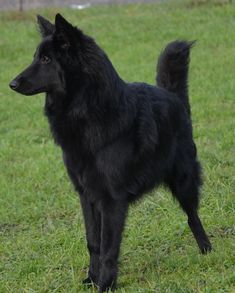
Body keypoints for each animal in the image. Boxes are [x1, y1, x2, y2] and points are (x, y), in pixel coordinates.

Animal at [9, 14, 212, 292]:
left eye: (46, 60)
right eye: (36, 57)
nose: (12, 83)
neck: (88, 110)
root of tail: (172, 95)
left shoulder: (112, 200)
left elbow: (108, 247)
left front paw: (105, 284)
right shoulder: (86, 195)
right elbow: (93, 242)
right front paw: (91, 279)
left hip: (184, 180)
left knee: (193, 216)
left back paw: (206, 248)